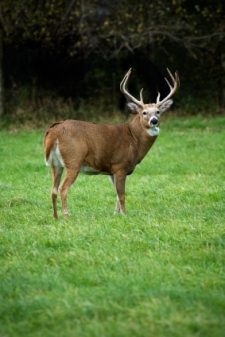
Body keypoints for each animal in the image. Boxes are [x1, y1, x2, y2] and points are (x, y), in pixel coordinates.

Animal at [43, 67, 179, 218]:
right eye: (144, 112)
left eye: (158, 111)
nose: (154, 120)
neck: (134, 139)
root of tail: (54, 131)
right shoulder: (120, 165)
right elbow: (122, 195)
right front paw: (125, 215)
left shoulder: (111, 171)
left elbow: (116, 195)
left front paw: (115, 214)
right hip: (74, 160)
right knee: (63, 188)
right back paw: (66, 216)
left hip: (55, 164)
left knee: (53, 190)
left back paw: (56, 218)